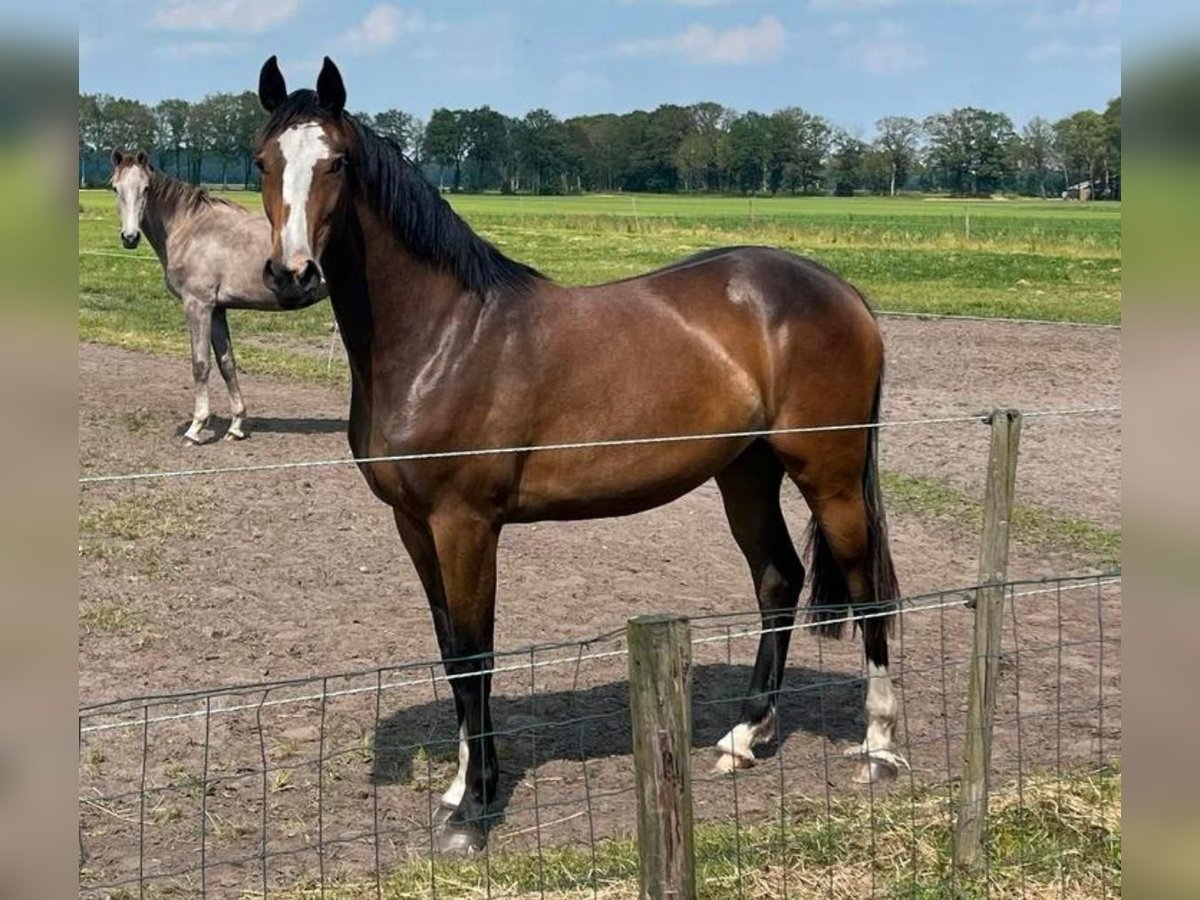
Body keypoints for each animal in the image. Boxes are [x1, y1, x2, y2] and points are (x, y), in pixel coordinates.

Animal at [111, 151, 326, 444]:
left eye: (145, 188)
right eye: (115, 188)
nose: (130, 237)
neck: (190, 228)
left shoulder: (198, 305)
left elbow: (200, 364)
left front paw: (196, 428)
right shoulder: (217, 310)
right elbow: (227, 364)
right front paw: (236, 426)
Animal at [255, 58, 902, 859]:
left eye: (337, 163)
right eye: (263, 160)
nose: (291, 274)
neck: (444, 336)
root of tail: (842, 292)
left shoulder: (466, 525)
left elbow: (475, 655)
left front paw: (475, 811)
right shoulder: (414, 525)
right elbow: (451, 654)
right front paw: (458, 791)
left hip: (830, 474)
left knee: (869, 588)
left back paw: (879, 749)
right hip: (746, 472)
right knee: (778, 582)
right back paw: (742, 738)